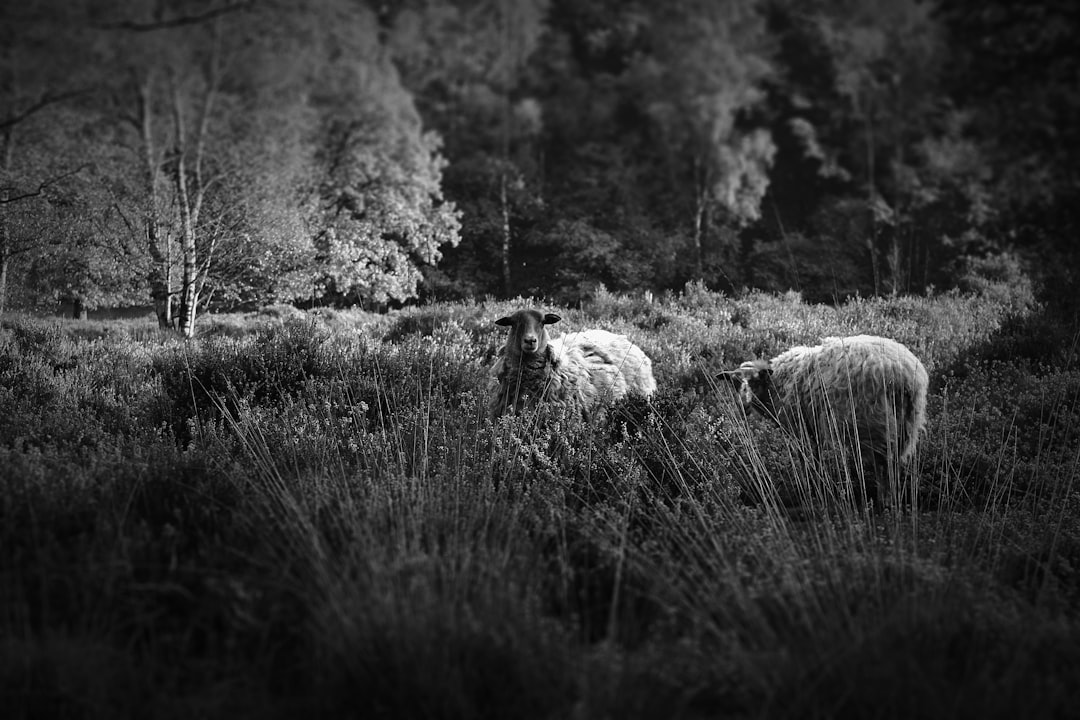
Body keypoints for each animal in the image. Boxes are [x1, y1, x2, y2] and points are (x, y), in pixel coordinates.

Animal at [721, 334, 924, 509]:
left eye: (755, 382)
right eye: (735, 383)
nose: (743, 406)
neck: (775, 383)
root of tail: (901, 373)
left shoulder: (798, 427)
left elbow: (804, 458)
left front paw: (809, 489)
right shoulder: (812, 427)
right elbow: (816, 456)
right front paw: (818, 484)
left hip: (870, 424)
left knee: (884, 464)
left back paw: (884, 501)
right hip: (906, 424)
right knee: (894, 462)